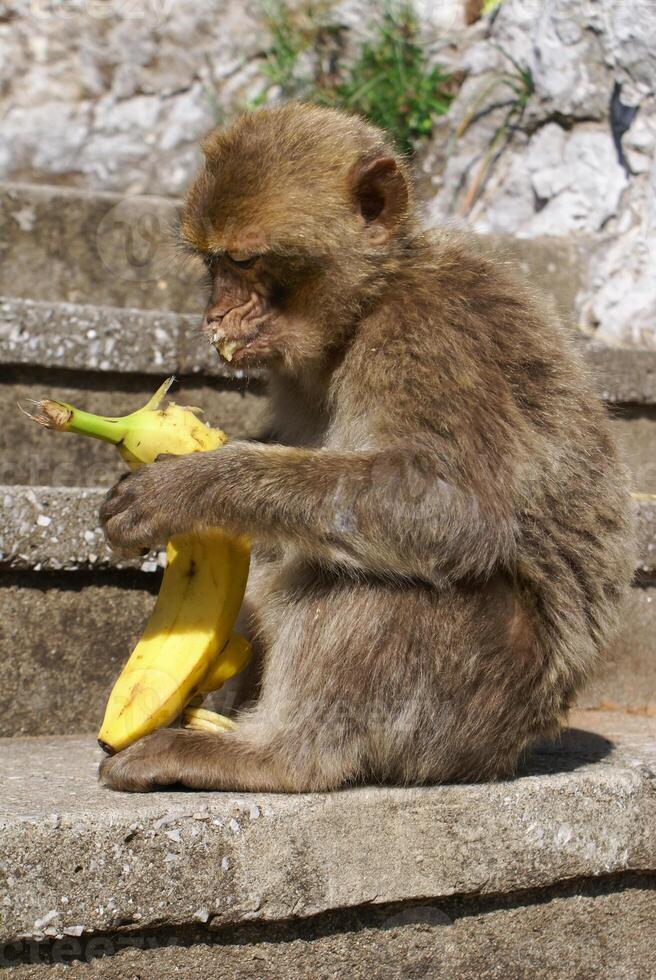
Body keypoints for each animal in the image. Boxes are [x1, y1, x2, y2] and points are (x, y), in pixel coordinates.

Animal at [97, 105, 636, 796]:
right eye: (211, 263)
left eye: (244, 259)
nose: (214, 316)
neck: (368, 306)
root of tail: (515, 747)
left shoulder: (428, 337)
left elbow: (454, 509)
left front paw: (192, 487)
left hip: (467, 710)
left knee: (377, 570)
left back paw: (279, 757)